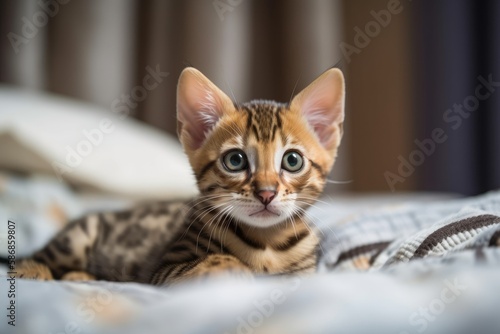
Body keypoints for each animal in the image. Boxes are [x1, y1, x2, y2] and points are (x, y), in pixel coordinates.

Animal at [14, 67, 344, 284]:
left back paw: (80, 276)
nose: (266, 193)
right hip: (78, 237)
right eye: (235, 160)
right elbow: (216, 260)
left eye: (292, 160)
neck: (267, 242)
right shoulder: (165, 266)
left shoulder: (302, 274)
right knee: (36, 257)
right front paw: (234, 269)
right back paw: (34, 271)